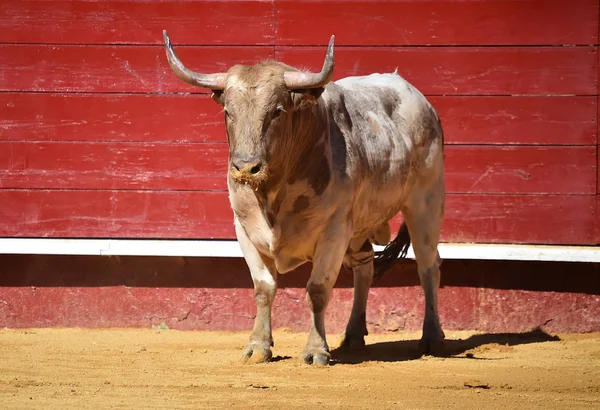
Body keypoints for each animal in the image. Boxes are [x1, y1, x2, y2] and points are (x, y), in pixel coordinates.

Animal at [164, 32, 446, 366]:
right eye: (227, 112)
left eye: (277, 111)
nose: (245, 167)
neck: (273, 193)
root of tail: (420, 99)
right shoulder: (244, 229)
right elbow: (264, 288)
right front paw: (257, 346)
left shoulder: (334, 230)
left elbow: (318, 290)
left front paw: (316, 350)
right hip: (360, 224)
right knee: (365, 266)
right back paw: (353, 335)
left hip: (425, 202)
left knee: (428, 265)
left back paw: (431, 337)